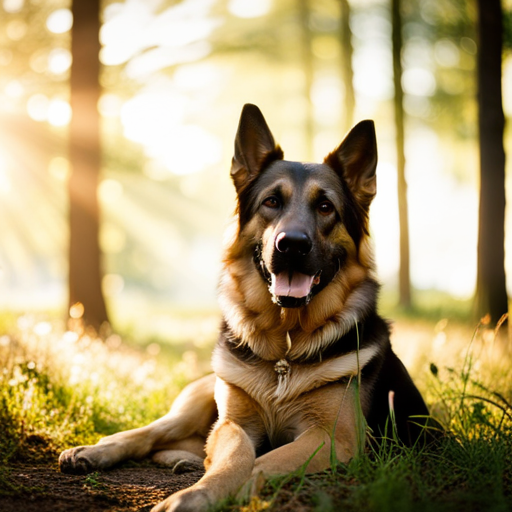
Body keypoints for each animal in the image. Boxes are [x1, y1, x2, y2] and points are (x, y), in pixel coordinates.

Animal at [58, 105, 430, 512]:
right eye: (271, 202)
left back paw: (185, 461)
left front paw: (214, 492)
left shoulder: (333, 437)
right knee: (151, 433)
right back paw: (95, 451)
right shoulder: (235, 423)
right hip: (199, 399)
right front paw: (201, 490)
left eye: (325, 206)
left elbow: (262, 461)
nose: (292, 245)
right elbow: (239, 455)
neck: (285, 348)